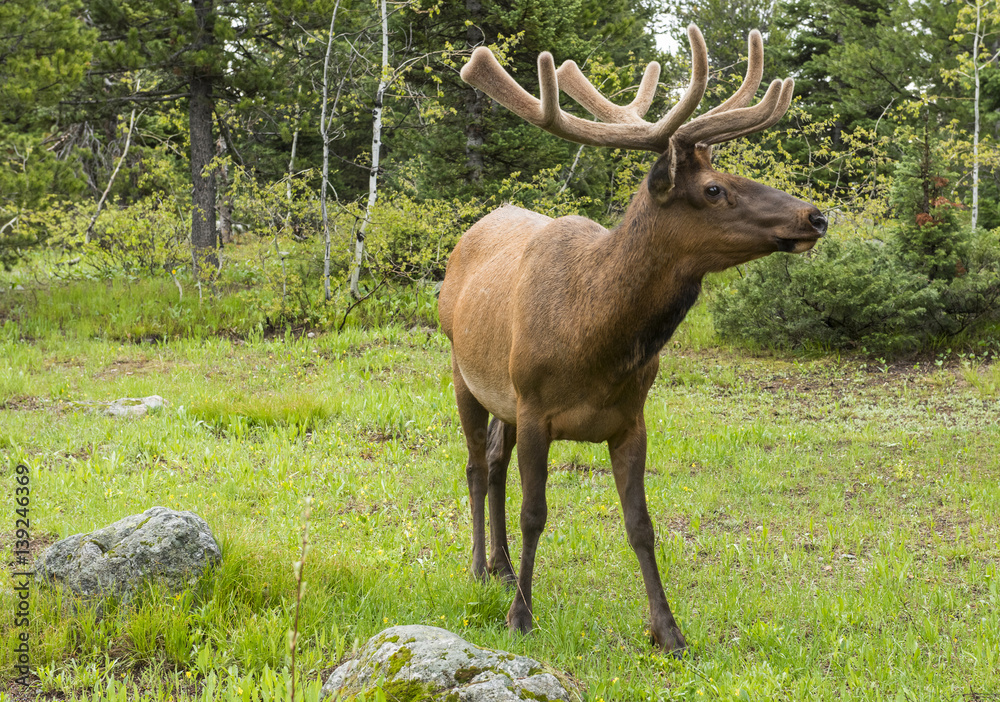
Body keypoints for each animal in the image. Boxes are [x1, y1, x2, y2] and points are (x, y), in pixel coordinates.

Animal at [437, 25, 827, 653]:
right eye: (714, 189)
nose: (815, 217)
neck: (594, 338)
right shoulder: (536, 406)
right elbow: (535, 512)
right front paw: (522, 616)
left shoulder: (630, 418)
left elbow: (641, 524)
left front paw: (667, 630)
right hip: (463, 371)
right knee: (475, 464)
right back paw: (479, 567)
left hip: (503, 396)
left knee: (494, 460)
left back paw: (500, 567)